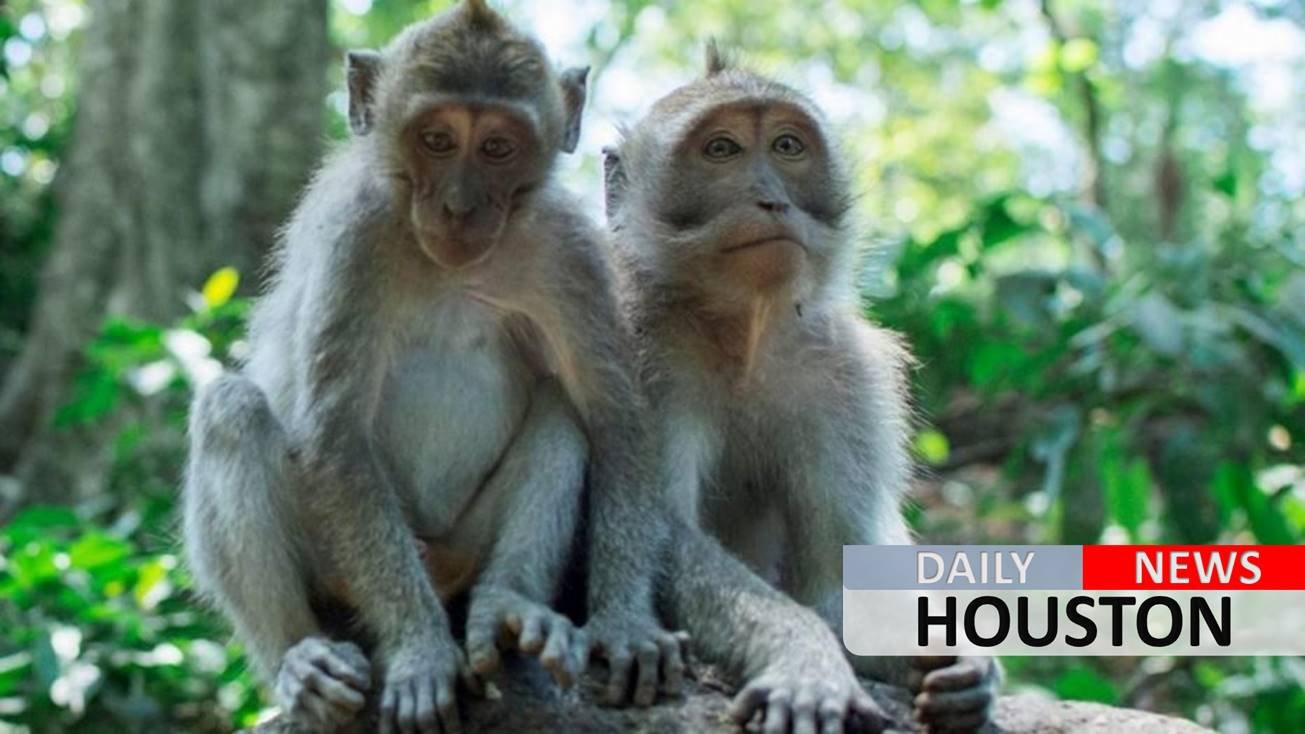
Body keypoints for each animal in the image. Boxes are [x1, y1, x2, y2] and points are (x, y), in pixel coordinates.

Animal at [181, 3, 690, 732]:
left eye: (498, 147)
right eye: (437, 139)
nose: (458, 206)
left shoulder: (567, 247)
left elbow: (614, 417)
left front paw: (623, 624)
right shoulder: (356, 234)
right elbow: (335, 437)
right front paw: (419, 652)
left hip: (461, 549)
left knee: (561, 408)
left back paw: (509, 611)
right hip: (338, 569)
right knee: (232, 411)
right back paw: (300, 660)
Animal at [596, 44, 1000, 733]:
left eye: (788, 146)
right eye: (722, 150)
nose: (770, 199)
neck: (742, 331)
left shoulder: (843, 376)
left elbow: (833, 580)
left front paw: (957, 663)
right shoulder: (631, 344)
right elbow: (662, 529)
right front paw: (804, 658)